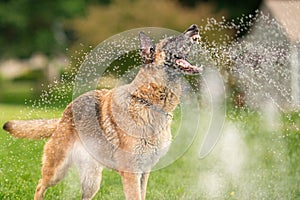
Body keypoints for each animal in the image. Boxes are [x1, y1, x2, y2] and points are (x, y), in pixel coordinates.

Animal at [2, 24, 202, 199]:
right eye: (171, 40)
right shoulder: (131, 173)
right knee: (39, 186)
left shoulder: (144, 172)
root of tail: (64, 115)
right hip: (57, 171)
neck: (148, 102)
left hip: (92, 180)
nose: (194, 27)